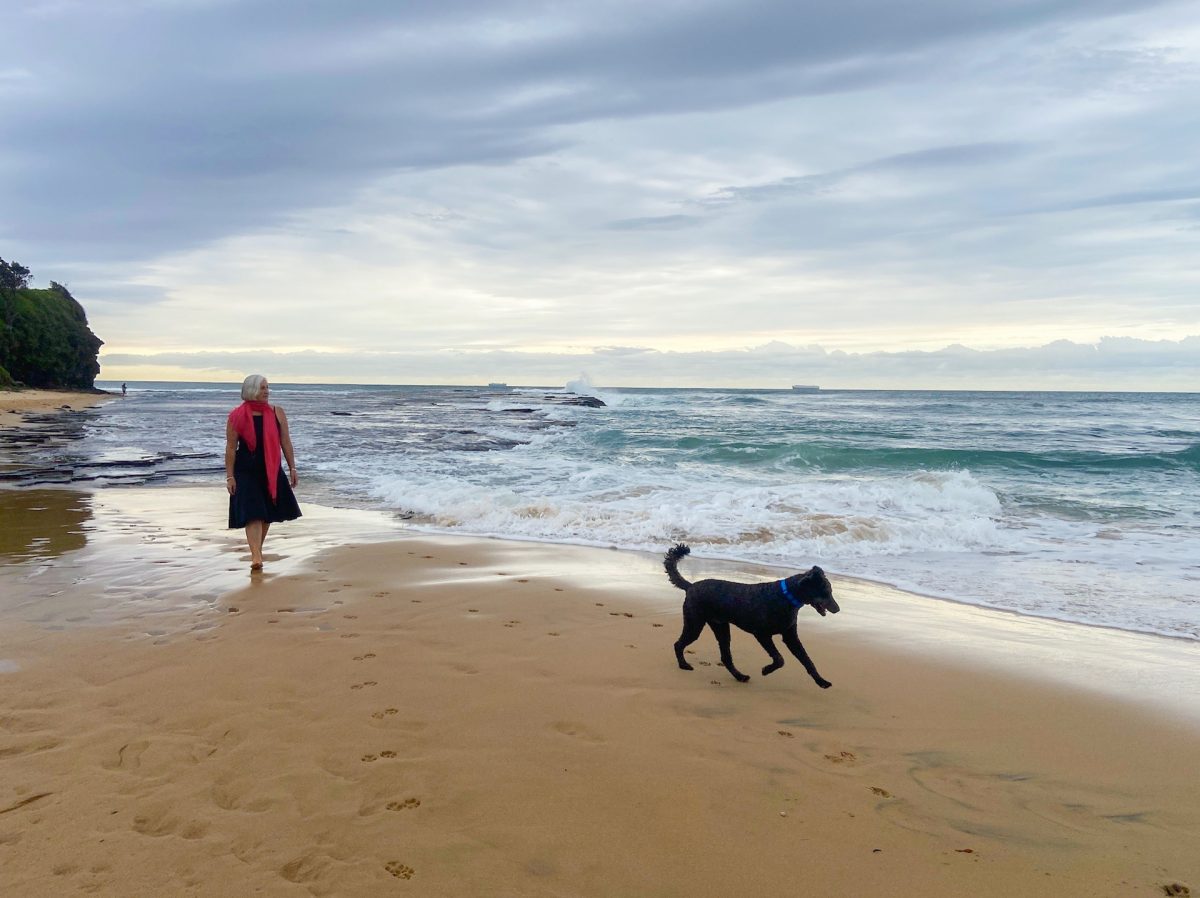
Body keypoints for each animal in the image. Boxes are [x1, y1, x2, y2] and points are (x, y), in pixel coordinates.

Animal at [672, 540, 840, 686]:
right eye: (826, 592)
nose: (838, 609)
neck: (785, 596)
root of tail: (690, 586)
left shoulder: (790, 637)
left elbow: (807, 660)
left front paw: (821, 681)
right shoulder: (761, 634)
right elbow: (779, 659)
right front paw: (766, 670)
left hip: (721, 628)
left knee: (726, 657)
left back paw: (740, 676)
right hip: (694, 624)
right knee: (678, 644)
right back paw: (683, 665)